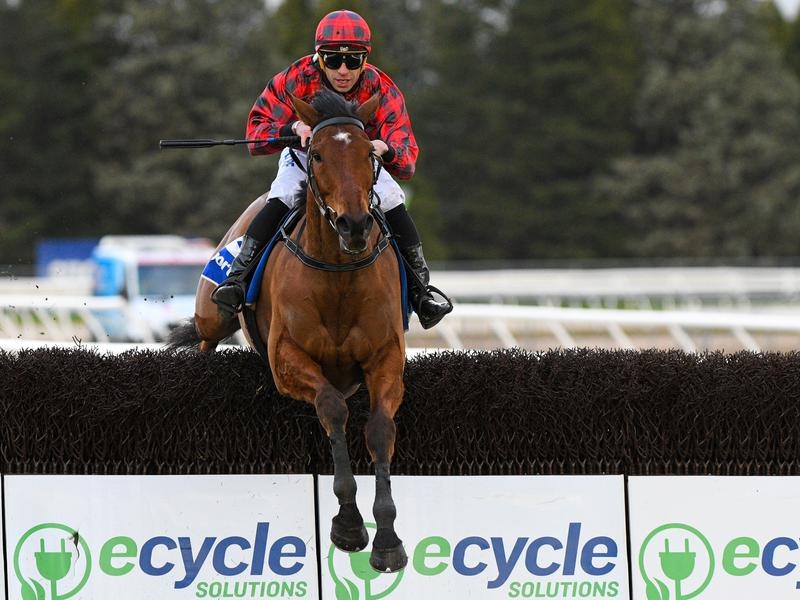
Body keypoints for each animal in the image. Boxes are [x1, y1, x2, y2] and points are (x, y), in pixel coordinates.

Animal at [169, 89, 408, 573]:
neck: (338, 275)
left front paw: (387, 537)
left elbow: (379, 429)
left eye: (370, 155)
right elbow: (332, 407)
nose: (355, 225)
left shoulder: (387, 358)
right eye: (315, 154)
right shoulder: (286, 359)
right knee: (205, 338)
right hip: (212, 313)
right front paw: (348, 523)